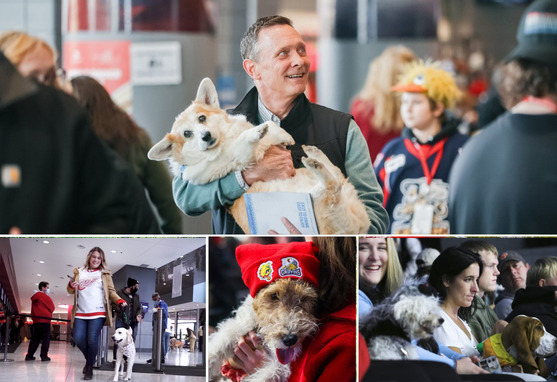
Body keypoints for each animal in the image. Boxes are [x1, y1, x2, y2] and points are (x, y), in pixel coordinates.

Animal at [148, 77, 370, 234]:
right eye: (187, 134)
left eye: (201, 118)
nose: (206, 136)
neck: (224, 138)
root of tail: (355, 229)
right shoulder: (228, 159)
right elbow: (242, 143)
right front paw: (256, 134)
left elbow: (270, 126)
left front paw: (281, 135)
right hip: (314, 201)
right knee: (331, 186)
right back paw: (313, 162)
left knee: (335, 176)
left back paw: (313, 154)